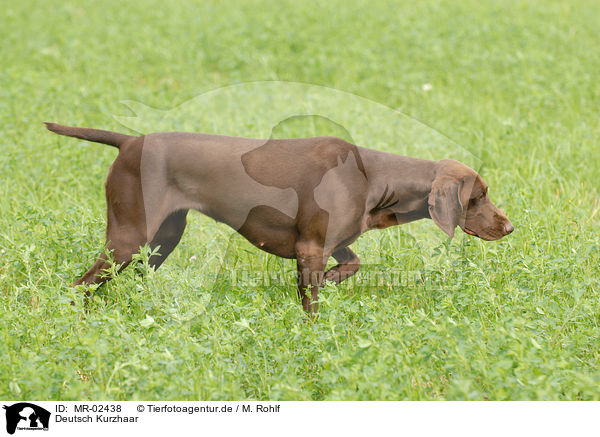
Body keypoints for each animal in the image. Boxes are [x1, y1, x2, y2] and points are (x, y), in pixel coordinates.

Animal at [48, 122, 516, 312]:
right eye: (479, 197)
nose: (510, 227)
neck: (373, 178)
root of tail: (129, 142)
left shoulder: (331, 244)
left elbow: (352, 264)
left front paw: (335, 280)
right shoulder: (310, 250)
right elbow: (312, 306)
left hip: (163, 238)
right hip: (129, 236)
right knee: (79, 286)